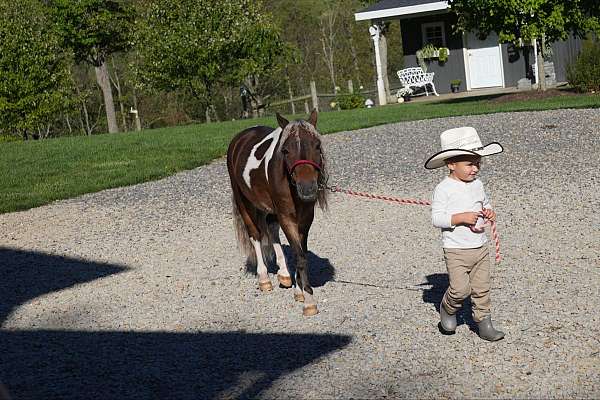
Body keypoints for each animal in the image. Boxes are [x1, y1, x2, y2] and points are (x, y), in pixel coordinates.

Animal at [226, 109, 328, 316]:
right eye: (286, 150)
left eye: (317, 145)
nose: (307, 188)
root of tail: (241, 137)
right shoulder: (286, 217)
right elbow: (299, 255)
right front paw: (309, 301)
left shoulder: (306, 218)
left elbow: (301, 253)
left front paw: (299, 291)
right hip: (244, 203)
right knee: (256, 235)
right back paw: (264, 278)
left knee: (272, 230)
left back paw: (284, 274)